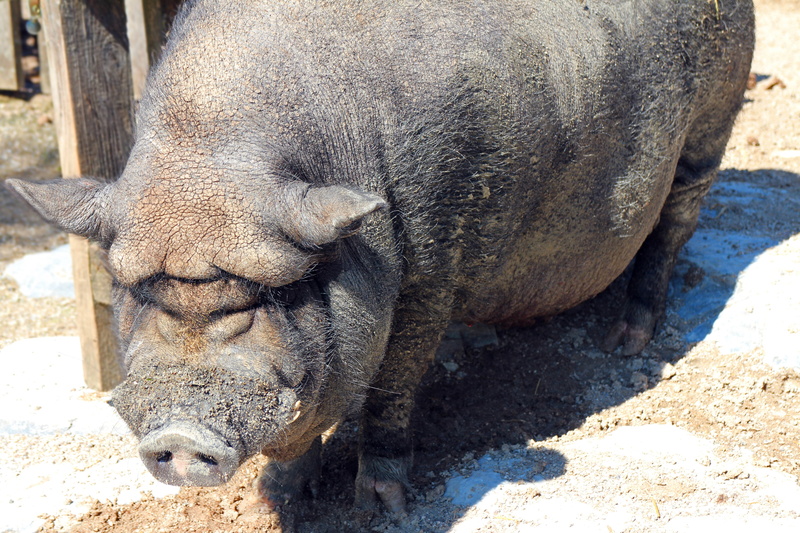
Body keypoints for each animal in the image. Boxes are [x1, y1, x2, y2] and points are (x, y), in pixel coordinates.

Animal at [7, 0, 754, 514]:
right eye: (137, 291)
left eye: (276, 294)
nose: (185, 432)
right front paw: (284, 496)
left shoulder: (436, 259)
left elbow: (395, 381)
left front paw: (381, 505)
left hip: (715, 117)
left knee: (675, 224)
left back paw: (628, 342)